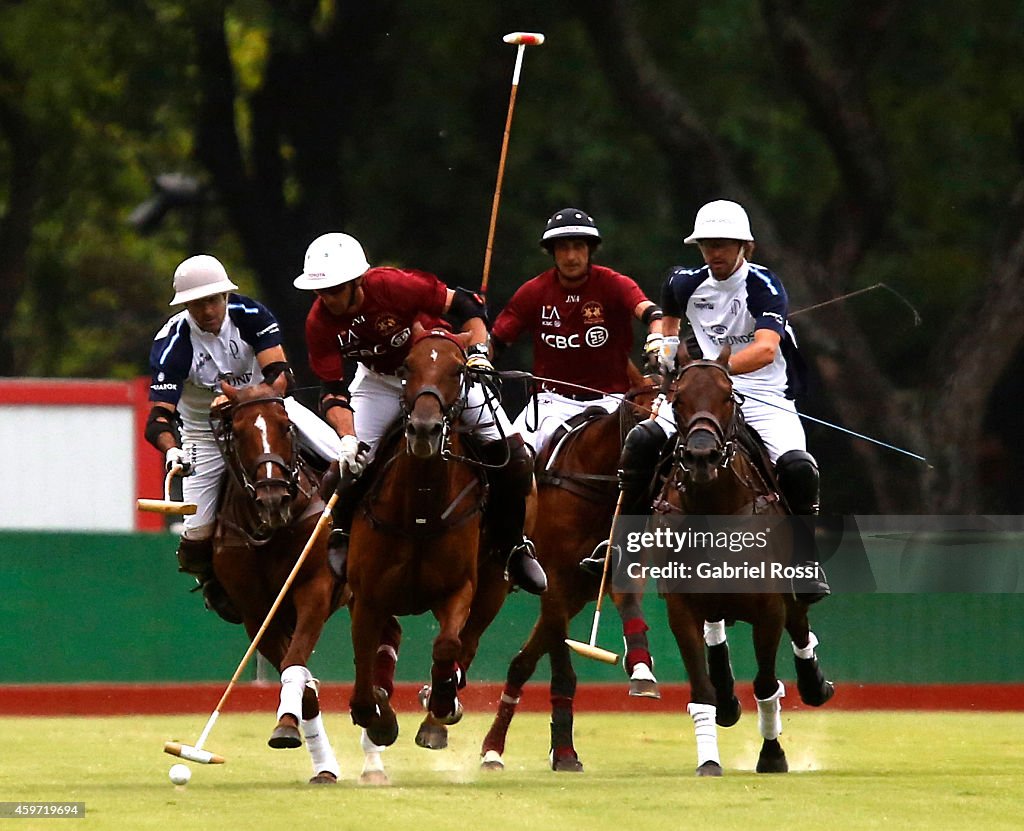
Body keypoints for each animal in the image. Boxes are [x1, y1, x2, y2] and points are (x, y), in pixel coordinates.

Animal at [214, 376, 346, 785]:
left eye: (287, 426)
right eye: (238, 432)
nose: (272, 499)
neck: (270, 531)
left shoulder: (314, 588)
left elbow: (295, 661)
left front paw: (287, 725)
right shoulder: (257, 612)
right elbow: (303, 679)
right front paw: (304, 745)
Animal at [344, 327, 507, 757]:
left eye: (458, 369)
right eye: (406, 367)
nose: (423, 430)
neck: (420, 508)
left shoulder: (459, 588)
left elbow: (448, 646)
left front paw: (442, 704)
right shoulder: (367, 596)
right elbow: (363, 670)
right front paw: (380, 718)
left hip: (496, 584)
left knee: (467, 643)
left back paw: (438, 712)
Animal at [477, 366, 659, 769]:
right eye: (636, 417)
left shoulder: (616, 573)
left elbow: (630, 609)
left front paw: (641, 670)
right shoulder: (556, 582)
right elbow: (559, 671)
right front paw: (560, 752)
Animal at [655, 347, 831, 777]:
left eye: (728, 395)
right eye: (677, 400)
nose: (702, 456)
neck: (713, 506)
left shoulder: (768, 607)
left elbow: (767, 685)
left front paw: (772, 756)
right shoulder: (680, 608)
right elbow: (700, 691)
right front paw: (708, 761)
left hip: (790, 590)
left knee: (801, 627)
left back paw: (815, 684)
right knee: (717, 636)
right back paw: (726, 699)